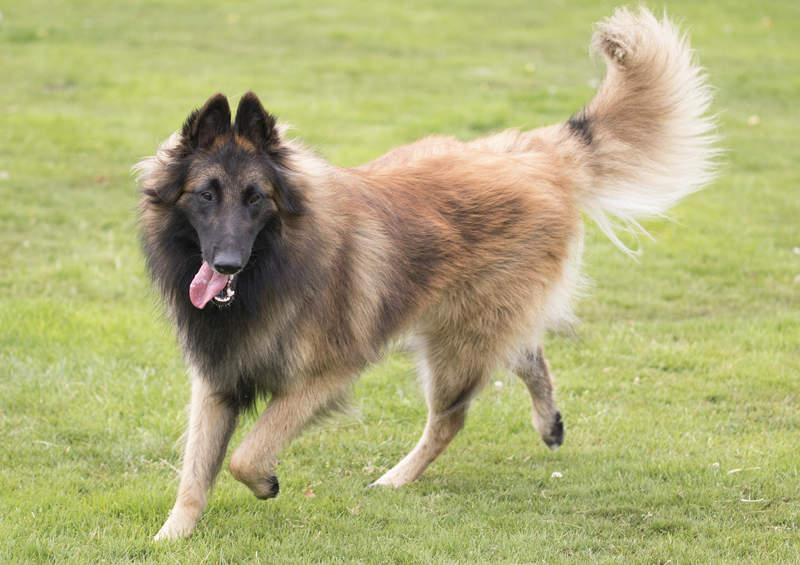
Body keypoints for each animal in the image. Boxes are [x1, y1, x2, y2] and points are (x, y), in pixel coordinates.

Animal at [136, 7, 720, 536]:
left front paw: (266, 483)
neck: (275, 264)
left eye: (256, 199)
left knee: (452, 416)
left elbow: (246, 455)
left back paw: (396, 478)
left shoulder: (326, 374)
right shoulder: (217, 380)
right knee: (527, 352)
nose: (226, 263)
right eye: (206, 195)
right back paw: (548, 424)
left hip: (455, 344)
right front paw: (171, 536)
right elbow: (195, 473)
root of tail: (533, 155)